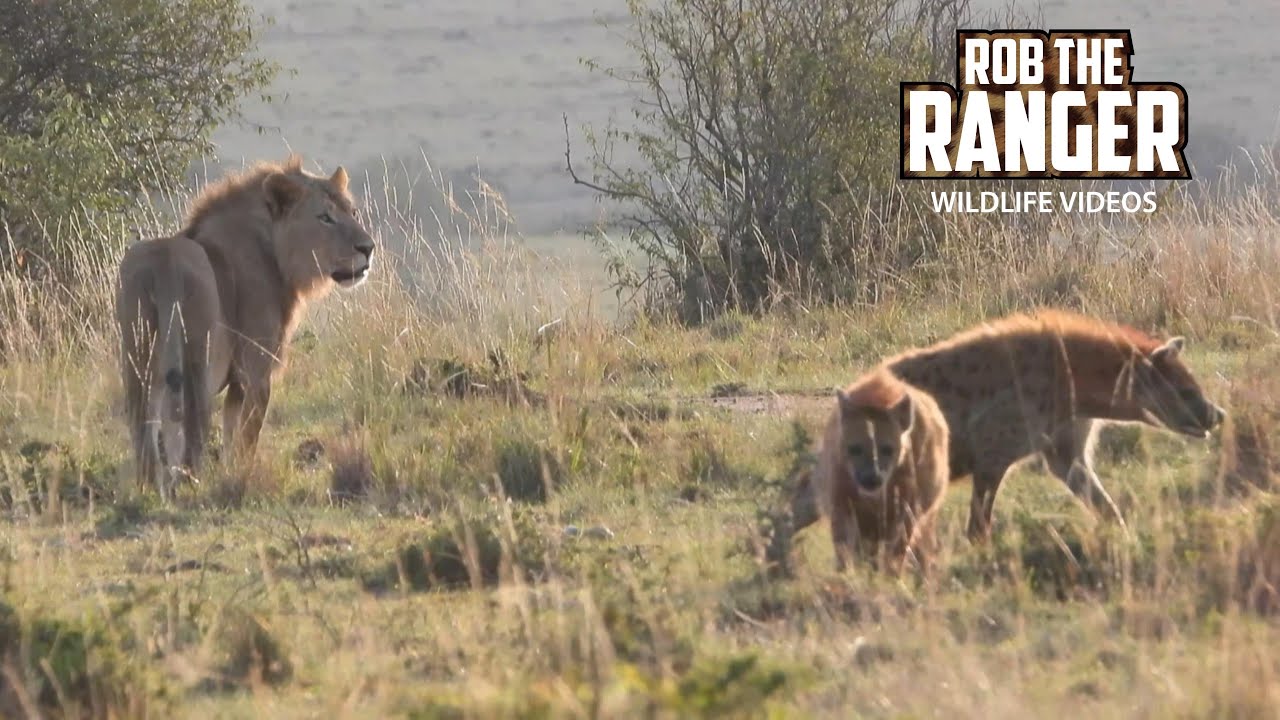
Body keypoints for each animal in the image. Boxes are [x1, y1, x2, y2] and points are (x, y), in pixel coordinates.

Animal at [115, 154, 375, 498]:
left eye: (352, 212)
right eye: (325, 218)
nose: (368, 248)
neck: (273, 250)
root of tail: (164, 265)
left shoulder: (236, 382)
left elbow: (230, 437)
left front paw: (229, 474)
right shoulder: (255, 371)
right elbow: (246, 439)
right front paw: (242, 478)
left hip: (136, 359)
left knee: (142, 431)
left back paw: (148, 490)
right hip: (197, 362)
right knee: (191, 435)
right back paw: (190, 489)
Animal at [814, 368, 950, 575]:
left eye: (887, 449)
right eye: (855, 448)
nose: (871, 478)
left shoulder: (908, 501)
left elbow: (899, 544)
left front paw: (891, 575)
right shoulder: (840, 494)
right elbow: (843, 542)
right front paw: (846, 574)